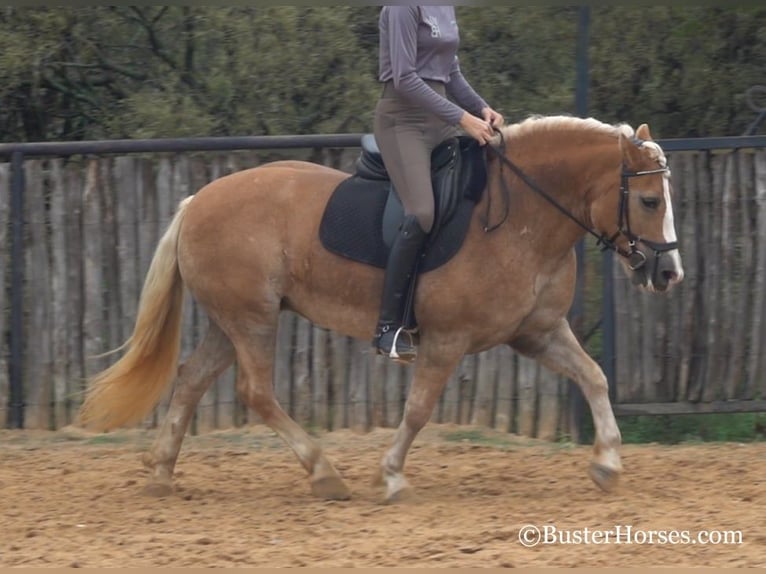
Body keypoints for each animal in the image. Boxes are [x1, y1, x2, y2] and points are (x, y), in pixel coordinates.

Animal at [78, 116, 688, 504]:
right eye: (648, 201)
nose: (668, 275)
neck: (518, 217)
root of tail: (197, 200)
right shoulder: (446, 341)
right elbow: (417, 411)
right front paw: (391, 477)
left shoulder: (536, 332)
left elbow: (595, 377)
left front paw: (607, 464)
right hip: (253, 319)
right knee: (256, 392)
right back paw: (324, 474)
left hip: (232, 321)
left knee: (189, 381)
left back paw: (162, 474)